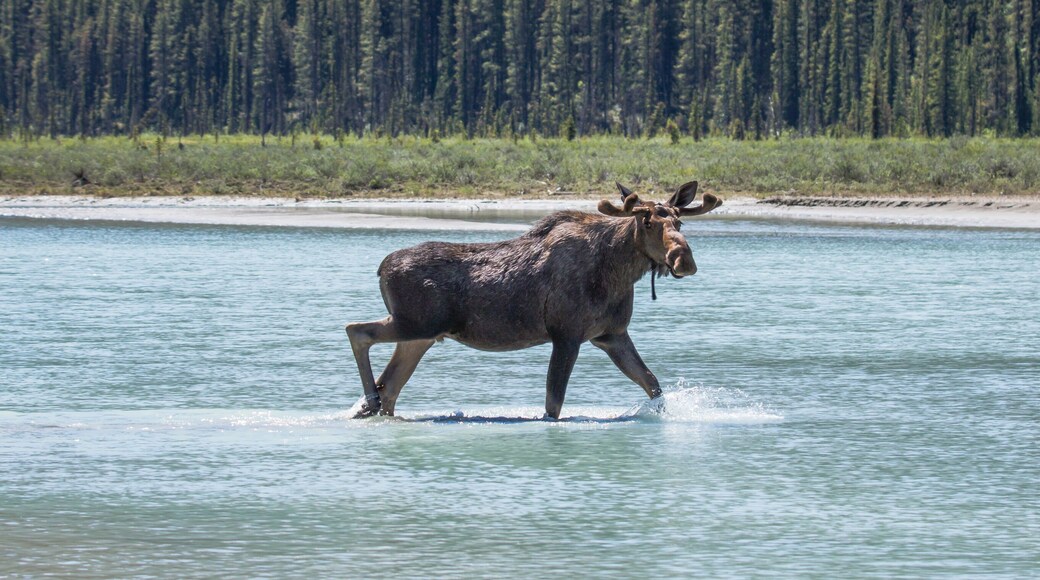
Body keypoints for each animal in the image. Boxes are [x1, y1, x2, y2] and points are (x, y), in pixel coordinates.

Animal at [345, 181, 723, 419]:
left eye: (679, 222)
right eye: (646, 221)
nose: (683, 260)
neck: (618, 271)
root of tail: (380, 269)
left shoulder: (611, 335)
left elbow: (653, 385)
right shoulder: (566, 334)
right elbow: (553, 405)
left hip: (420, 336)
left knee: (391, 385)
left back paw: (373, 405)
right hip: (414, 323)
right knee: (357, 331)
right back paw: (368, 401)